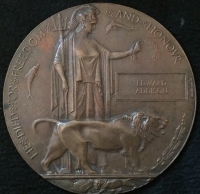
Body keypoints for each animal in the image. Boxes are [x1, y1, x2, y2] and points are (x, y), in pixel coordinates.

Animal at [32, 111, 167, 174]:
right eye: (157, 118)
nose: (167, 121)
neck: (137, 127)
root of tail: (60, 122)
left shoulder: (127, 149)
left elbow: (128, 160)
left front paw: (128, 171)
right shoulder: (131, 147)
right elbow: (136, 159)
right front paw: (139, 171)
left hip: (58, 146)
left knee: (45, 159)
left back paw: (49, 171)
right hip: (80, 146)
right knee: (82, 161)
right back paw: (91, 172)